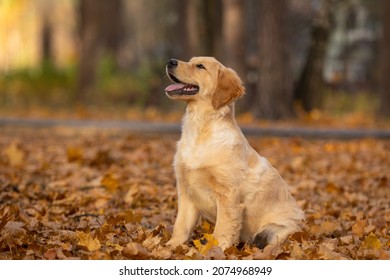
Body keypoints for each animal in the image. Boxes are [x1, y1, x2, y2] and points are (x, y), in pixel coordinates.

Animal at [163, 56, 304, 249]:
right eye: (191, 61)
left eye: (200, 66)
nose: (170, 61)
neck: (200, 128)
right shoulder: (185, 190)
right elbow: (181, 225)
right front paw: (170, 247)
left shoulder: (228, 195)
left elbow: (222, 229)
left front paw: (216, 250)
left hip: (278, 230)